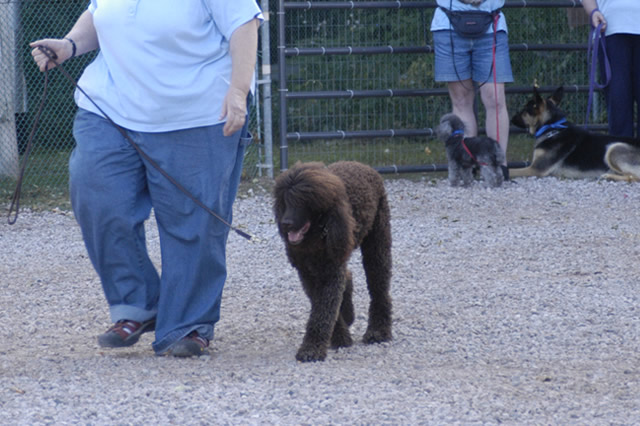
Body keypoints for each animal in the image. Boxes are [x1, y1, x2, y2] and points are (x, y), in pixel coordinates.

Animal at [272, 161, 392, 362]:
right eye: (286, 200)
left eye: (303, 202)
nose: (286, 223)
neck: (315, 238)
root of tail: (363, 165)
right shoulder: (308, 273)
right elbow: (323, 306)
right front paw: (340, 337)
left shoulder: (331, 271)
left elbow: (323, 309)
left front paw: (311, 349)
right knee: (348, 277)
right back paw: (349, 314)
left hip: (377, 243)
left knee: (379, 287)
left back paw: (378, 331)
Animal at [510, 85, 640, 181]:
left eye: (524, 110)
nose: (511, 119)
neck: (552, 128)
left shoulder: (535, 169)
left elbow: (511, 170)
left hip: (613, 148)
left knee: (634, 177)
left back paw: (609, 176)